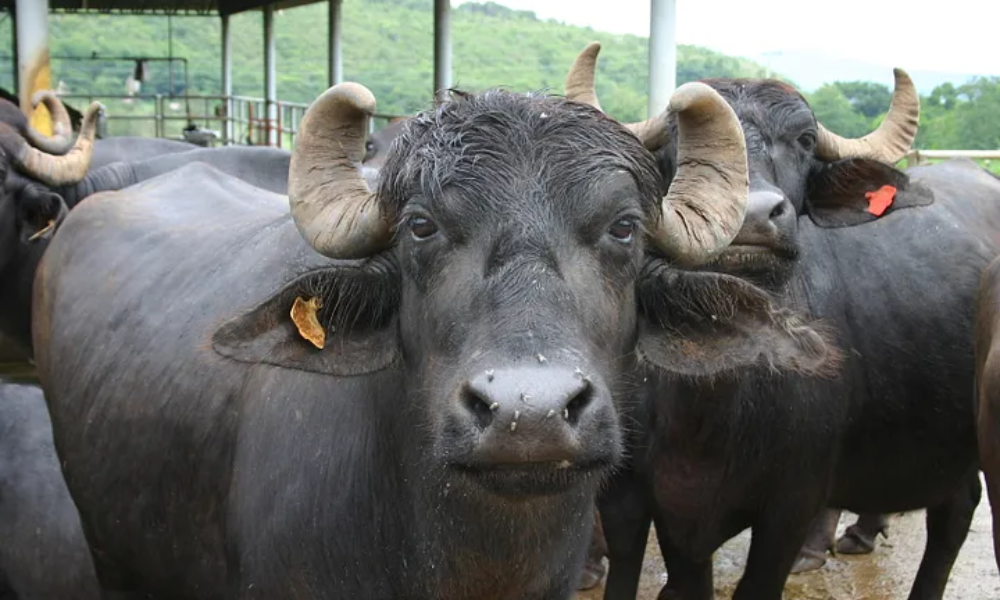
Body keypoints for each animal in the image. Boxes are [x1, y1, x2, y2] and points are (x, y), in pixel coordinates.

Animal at [568, 43, 996, 600]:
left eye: (805, 140)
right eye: (681, 144)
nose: (751, 217)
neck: (713, 398)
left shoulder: (791, 504)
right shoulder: (642, 501)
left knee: (952, 518)